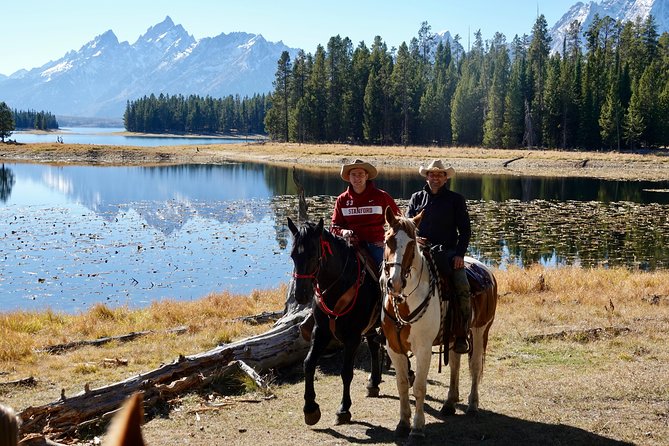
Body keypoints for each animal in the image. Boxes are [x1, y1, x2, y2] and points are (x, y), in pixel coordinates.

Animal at [286, 218, 384, 426]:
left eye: (313, 254)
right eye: (292, 255)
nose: (300, 295)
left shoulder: (352, 337)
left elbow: (346, 372)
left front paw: (344, 409)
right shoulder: (320, 331)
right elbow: (308, 363)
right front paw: (310, 409)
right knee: (374, 346)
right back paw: (373, 383)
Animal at [380, 207, 496, 438]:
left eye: (411, 245)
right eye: (388, 240)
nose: (394, 283)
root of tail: (486, 271)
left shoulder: (423, 349)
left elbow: (419, 387)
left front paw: (417, 428)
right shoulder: (393, 348)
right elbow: (402, 384)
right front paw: (403, 423)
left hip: (481, 330)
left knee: (475, 366)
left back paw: (472, 405)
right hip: (454, 335)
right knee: (455, 364)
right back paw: (450, 403)